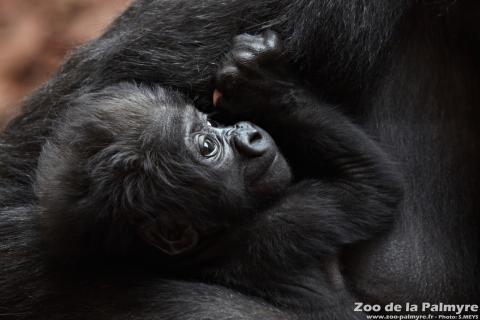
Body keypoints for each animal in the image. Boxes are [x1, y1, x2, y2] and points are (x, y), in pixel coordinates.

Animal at [35, 31, 402, 318]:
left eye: (209, 120)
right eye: (207, 146)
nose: (249, 133)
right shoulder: (291, 220)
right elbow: (370, 186)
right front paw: (265, 85)